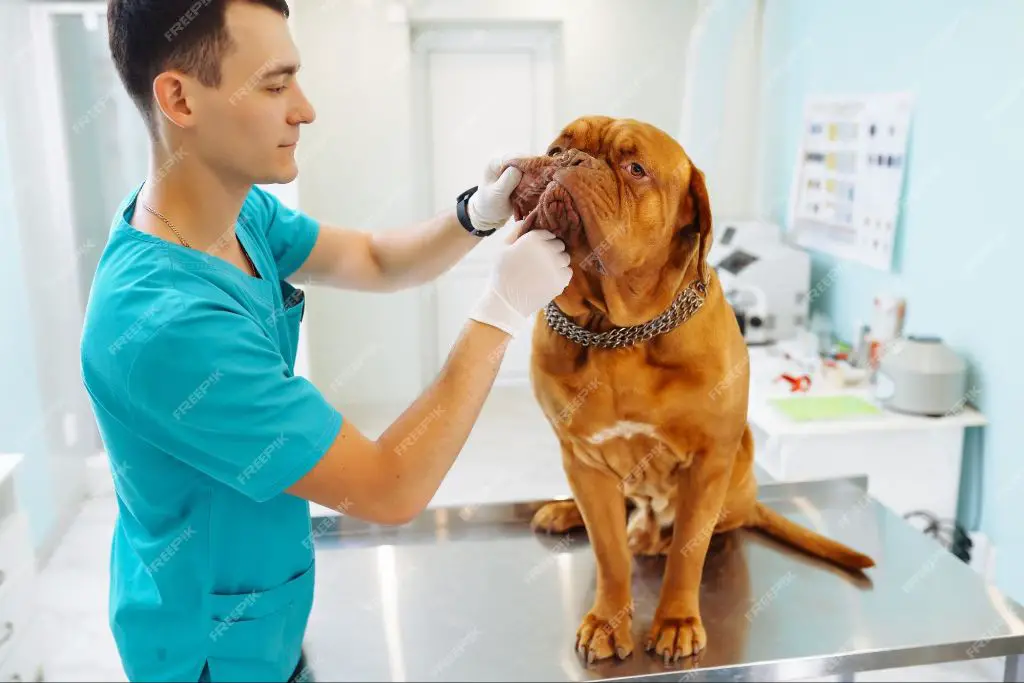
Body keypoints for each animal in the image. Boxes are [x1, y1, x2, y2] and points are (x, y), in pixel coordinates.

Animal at [503, 116, 872, 663]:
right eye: (555, 149)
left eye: (635, 168)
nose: (569, 161)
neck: (614, 329)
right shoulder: (584, 460)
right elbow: (609, 553)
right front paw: (608, 620)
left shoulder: (707, 461)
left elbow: (687, 554)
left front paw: (675, 621)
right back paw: (569, 512)